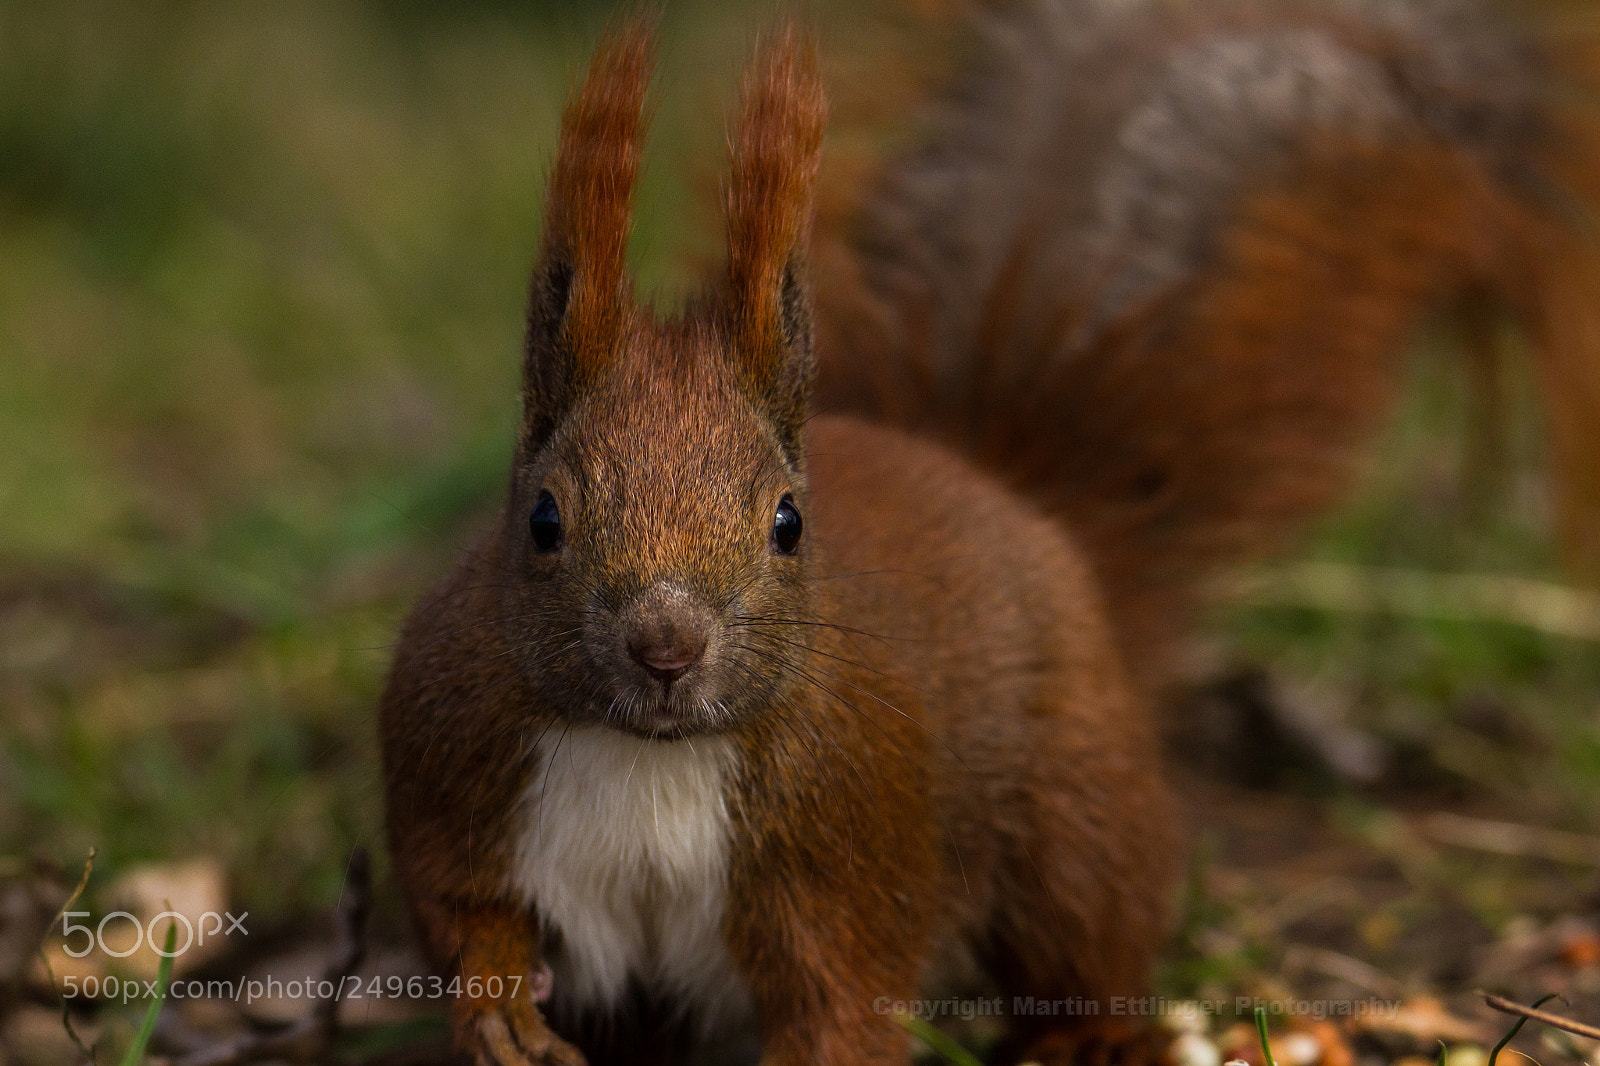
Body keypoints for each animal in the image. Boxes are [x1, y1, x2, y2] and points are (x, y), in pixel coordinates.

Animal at [379, 3, 1600, 1065]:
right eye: (543, 518)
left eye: (787, 522)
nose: (666, 647)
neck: (647, 756)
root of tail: (1008, 491)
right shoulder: (452, 765)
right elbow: (459, 911)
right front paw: (498, 1011)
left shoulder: (844, 858)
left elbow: (841, 1011)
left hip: (1076, 800)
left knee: (1090, 928)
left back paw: (1086, 1038)